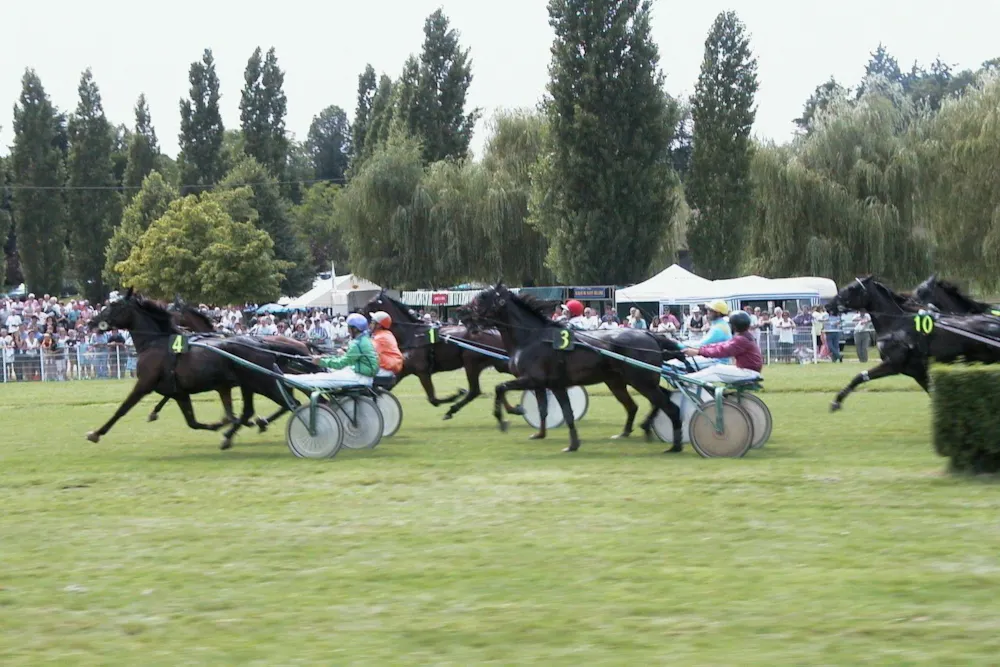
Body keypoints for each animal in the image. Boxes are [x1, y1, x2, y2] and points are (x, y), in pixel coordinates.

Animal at [86, 290, 322, 452]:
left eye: (113, 305)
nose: (91, 322)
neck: (156, 343)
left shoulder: (144, 384)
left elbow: (122, 409)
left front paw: (96, 433)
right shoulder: (181, 391)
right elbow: (193, 421)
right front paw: (221, 423)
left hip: (263, 383)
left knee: (293, 403)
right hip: (253, 384)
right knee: (261, 408)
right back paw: (239, 430)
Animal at [364, 292, 528, 422]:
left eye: (370, 303)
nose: (358, 313)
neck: (413, 334)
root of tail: (496, 332)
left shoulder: (422, 371)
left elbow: (433, 399)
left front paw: (455, 395)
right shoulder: (405, 369)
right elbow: (385, 387)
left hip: (471, 363)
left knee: (475, 391)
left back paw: (453, 409)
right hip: (496, 364)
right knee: (502, 385)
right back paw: (512, 408)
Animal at [464, 284, 684, 452]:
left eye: (482, 298)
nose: (463, 316)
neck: (532, 338)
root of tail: (650, 335)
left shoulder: (535, 380)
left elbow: (500, 387)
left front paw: (510, 414)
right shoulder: (546, 384)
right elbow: (548, 410)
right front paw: (544, 434)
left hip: (641, 381)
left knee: (670, 407)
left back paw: (675, 445)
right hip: (621, 382)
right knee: (639, 404)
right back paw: (635, 430)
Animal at [824, 274, 1000, 410]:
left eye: (851, 288)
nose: (827, 305)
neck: (896, 325)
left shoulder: (893, 364)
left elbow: (859, 377)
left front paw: (836, 402)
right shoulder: (915, 371)